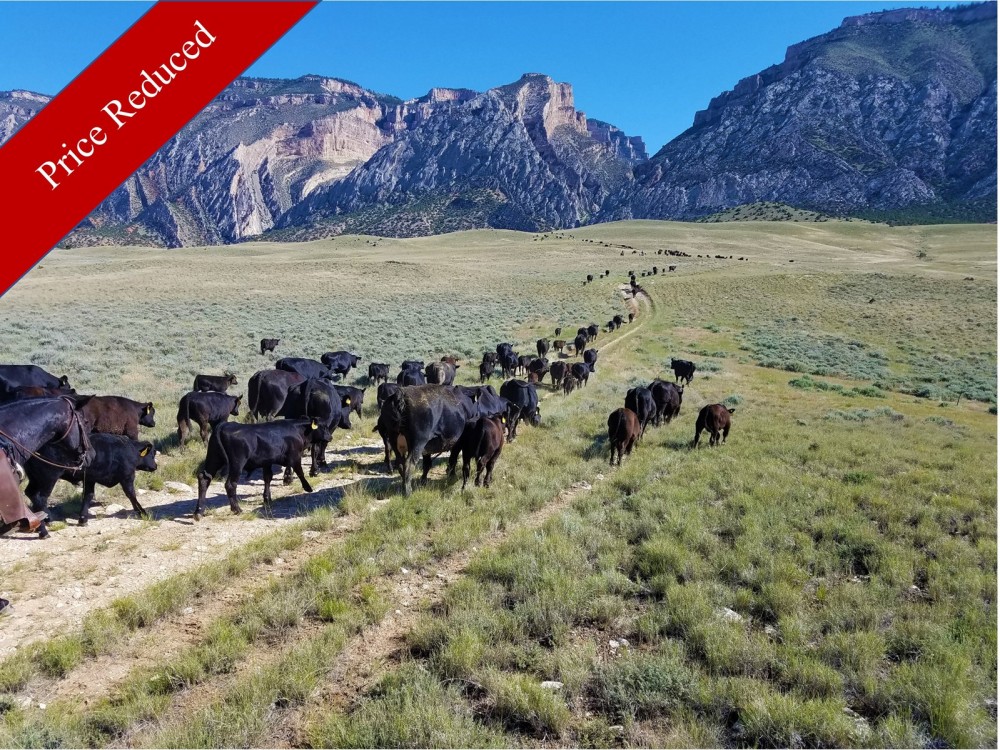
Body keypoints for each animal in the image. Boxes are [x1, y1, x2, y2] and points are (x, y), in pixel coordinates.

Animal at [25, 434, 157, 525]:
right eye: (152, 454)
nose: (155, 466)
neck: (128, 448)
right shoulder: (127, 477)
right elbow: (131, 494)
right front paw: (142, 512)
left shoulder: (89, 479)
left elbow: (88, 495)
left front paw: (83, 519)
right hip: (48, 479)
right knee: (41, 497)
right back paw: (48, 519)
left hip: (35, 479)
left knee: (31, 493)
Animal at [195, 419, 332, 520]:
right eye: (323, 427)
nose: (330, 437)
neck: (297, 429)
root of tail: (223, 425)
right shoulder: (295, 457)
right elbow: (300, 472)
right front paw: (308, 487)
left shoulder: (267, 462)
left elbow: (267, 478)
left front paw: (267, 498)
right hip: (237, 464)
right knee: (230, 484)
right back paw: (237, 509)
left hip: (213, 459)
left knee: (204, 478)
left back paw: (199, 512)